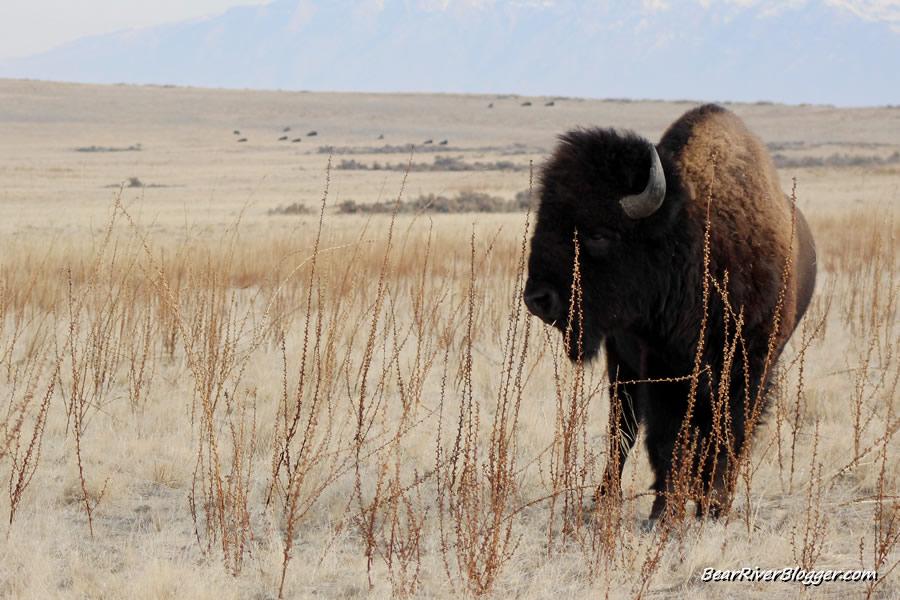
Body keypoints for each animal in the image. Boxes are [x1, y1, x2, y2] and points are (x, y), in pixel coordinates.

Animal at [524, 104, 820, 520]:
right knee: (622, 429)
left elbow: (730, 431)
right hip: (621, 364)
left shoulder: (752, 364)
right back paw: (606, 499)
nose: (538, 298)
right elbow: (666, 437)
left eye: (599, 234)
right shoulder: (662, 365)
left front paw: (713, 504)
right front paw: (664, 511)